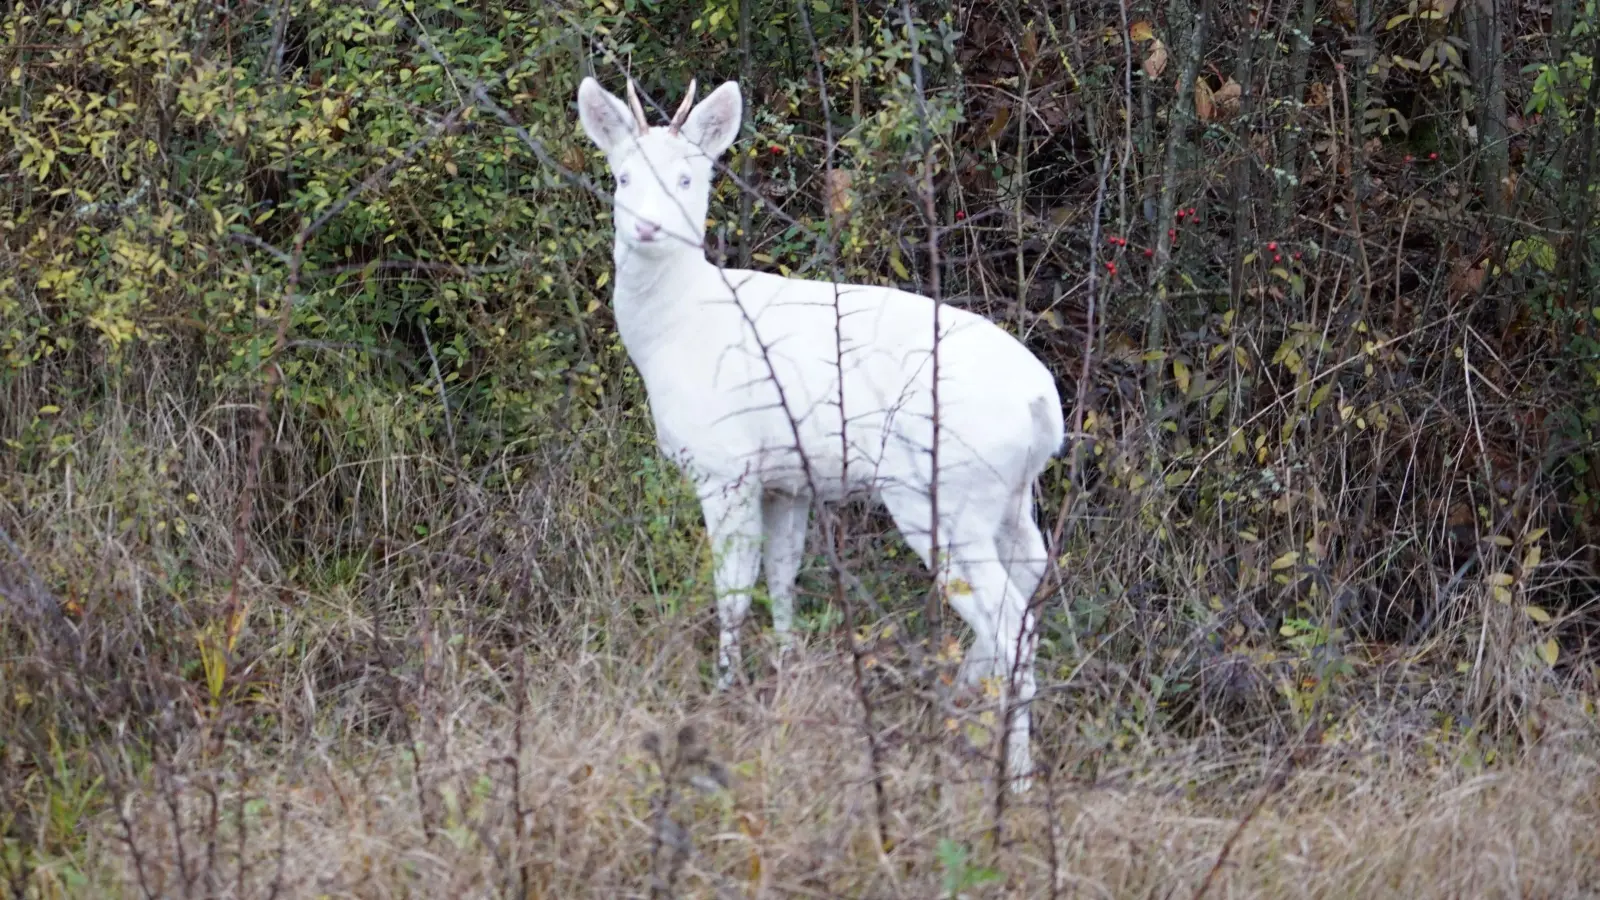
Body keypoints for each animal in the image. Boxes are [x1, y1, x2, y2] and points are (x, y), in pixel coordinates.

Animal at [576, 73, 1062, 781]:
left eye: (689, 177)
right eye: (622, 175)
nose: (645, 226)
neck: (679, 329)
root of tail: (1042, 404)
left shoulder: (726, 467)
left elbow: (732, 590)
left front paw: (724, 693)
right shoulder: (788, 479)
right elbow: (783, 577)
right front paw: (786, 673)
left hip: (945, 496)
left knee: (1010, 624)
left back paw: (1016, 777)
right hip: (1009, 498)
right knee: (1031, 577)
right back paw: (963, 702)